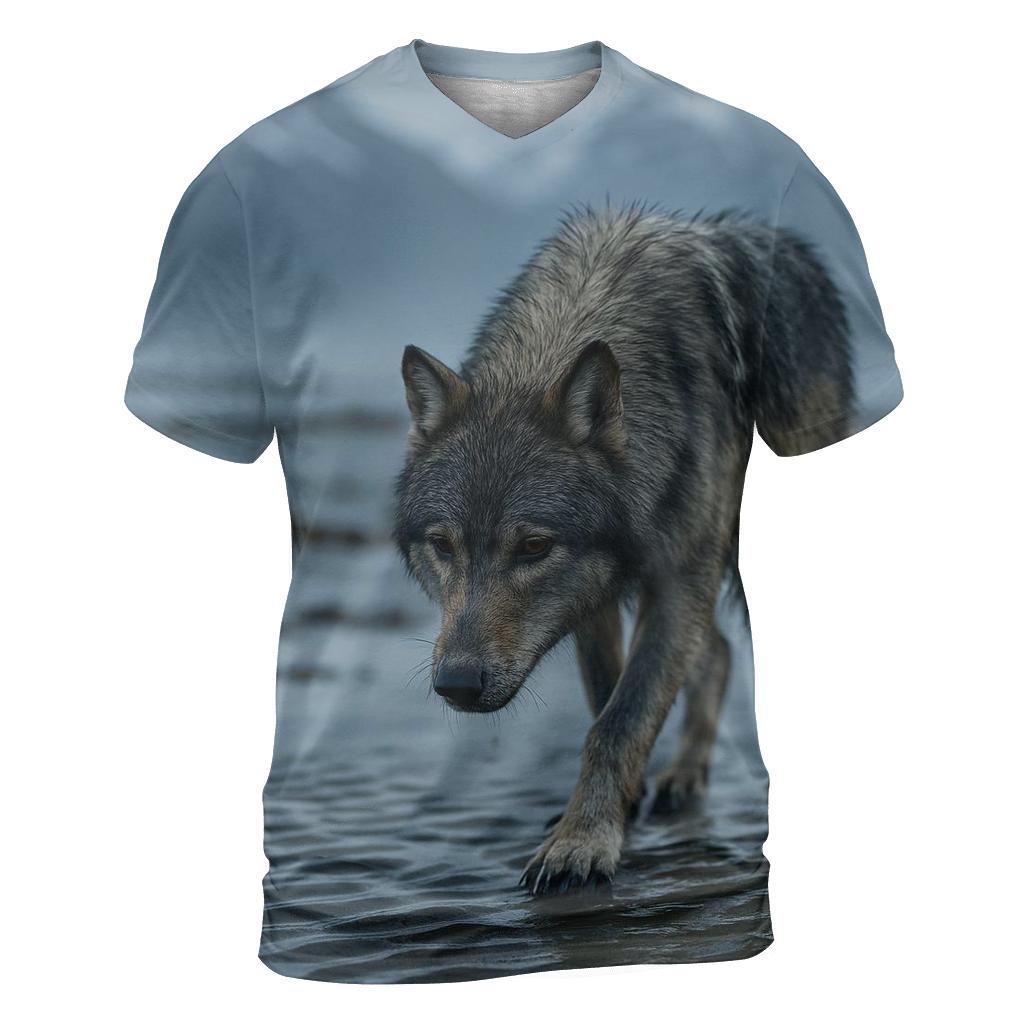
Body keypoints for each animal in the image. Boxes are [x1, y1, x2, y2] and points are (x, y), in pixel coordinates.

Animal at [393, 203, 852, 894]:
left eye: (534, 547)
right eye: (443, 545)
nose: (457, 684)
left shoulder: (677, 578)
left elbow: (622, 718)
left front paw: (581, 843)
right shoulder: (595, 594)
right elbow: (605, 700)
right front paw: (610, 814)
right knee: (717, 652)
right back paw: (682, 778)